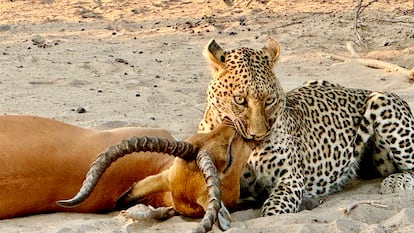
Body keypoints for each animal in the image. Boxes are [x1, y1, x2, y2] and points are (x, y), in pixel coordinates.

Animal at [197, 37, 414, 216]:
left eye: (269, 101)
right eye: (240, 100)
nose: (258, 135)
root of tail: (358, 90)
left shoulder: (290, 179)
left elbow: (273, 211)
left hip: (384, 103)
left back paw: (394, 182)